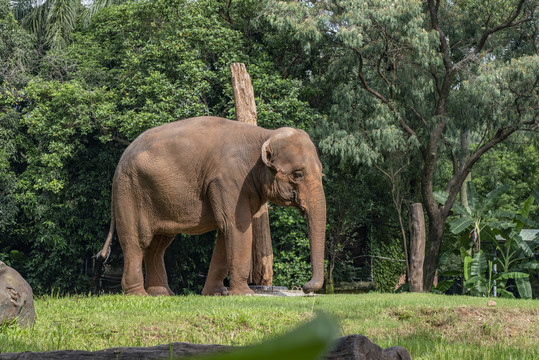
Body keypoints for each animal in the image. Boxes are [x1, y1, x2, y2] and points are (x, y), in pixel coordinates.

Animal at [95, 116, 326, 296]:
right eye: (298, 174)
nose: (305, 287)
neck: (264, 135)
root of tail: (120, 161)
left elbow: (227, 232)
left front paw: (215, 293)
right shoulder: (229, 179)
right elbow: (236, 226)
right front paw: (245, 294)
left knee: (157, 245)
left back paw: (162, 294)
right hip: (130, 191)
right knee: (136, 241)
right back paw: (139, 295)